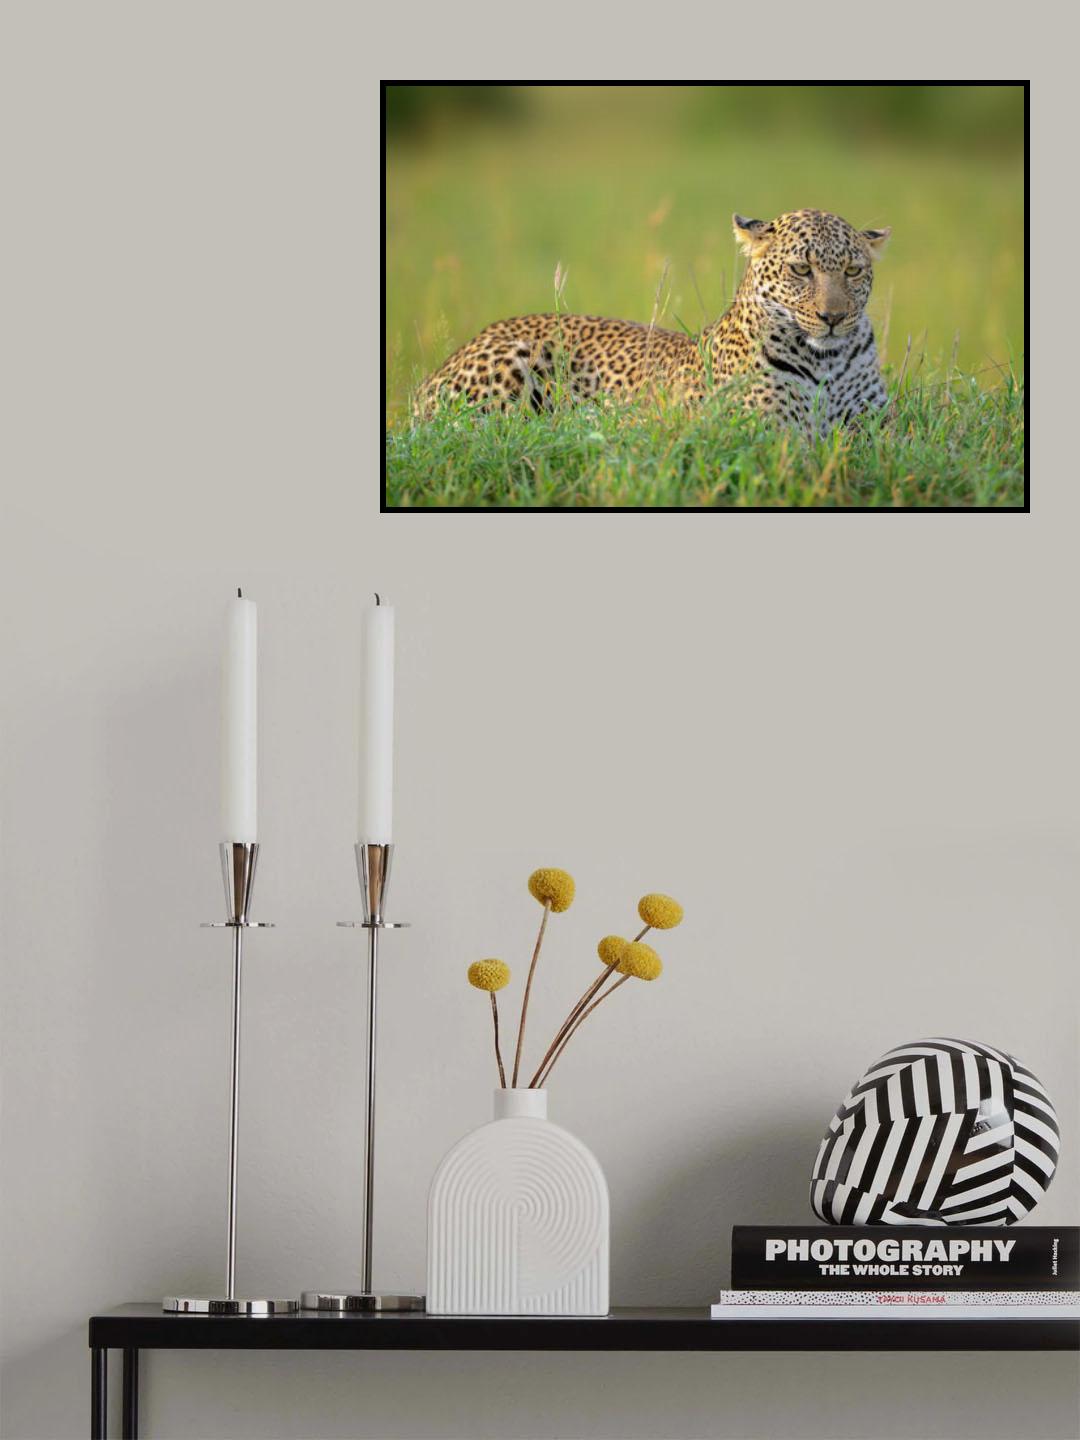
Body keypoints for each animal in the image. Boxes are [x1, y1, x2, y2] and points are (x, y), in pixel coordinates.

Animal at [413, 209, 891, 430]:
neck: (826, 362)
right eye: (801, 269)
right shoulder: (771, 431)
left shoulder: (877, 428)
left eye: (853, 271)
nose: (834, 317)